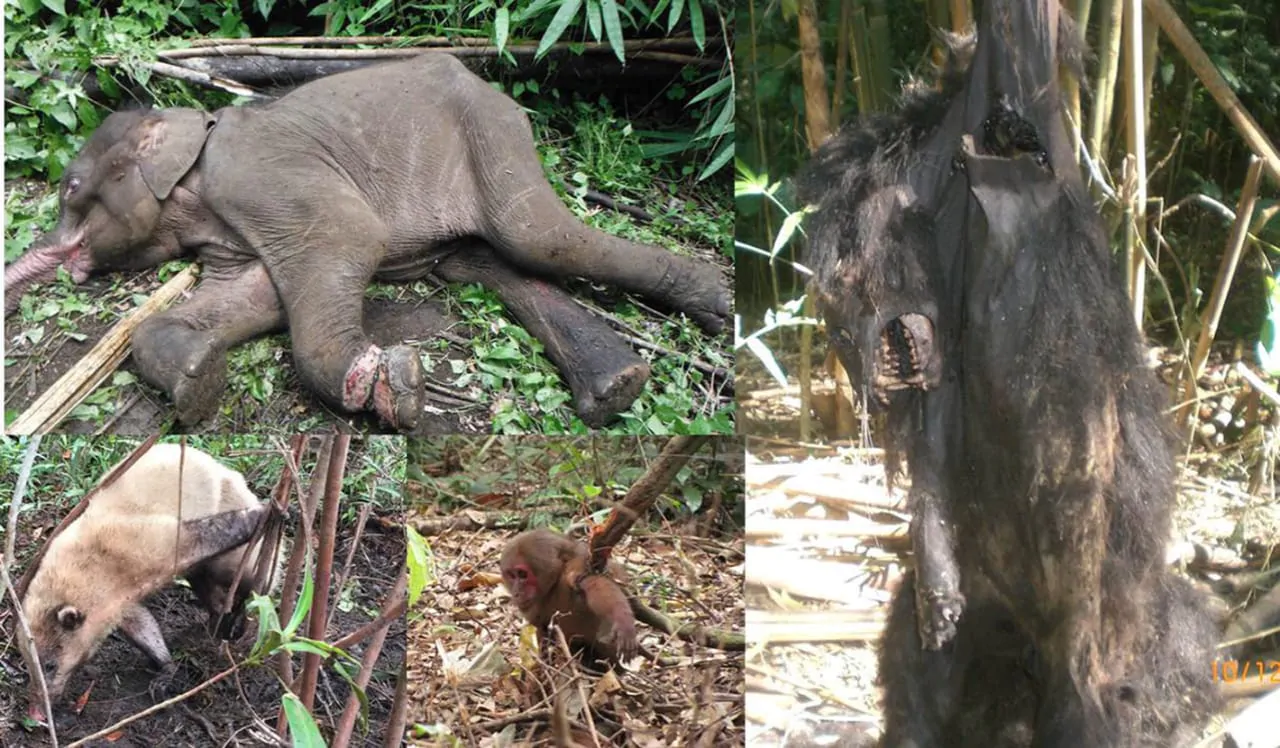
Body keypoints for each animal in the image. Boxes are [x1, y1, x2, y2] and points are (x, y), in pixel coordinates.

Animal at [5, 55, 732, 430]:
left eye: (71, 189)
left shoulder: (257, 170)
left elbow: (350, 237)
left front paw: (395, 386)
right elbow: (257, 297)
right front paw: (198, 379)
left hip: (491, 133)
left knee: (538, 238)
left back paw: (717, 303)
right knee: (489, 263)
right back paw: (619, 386)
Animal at [499, 525, 640, 666]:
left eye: (522, 574)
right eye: (512, 575)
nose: (516, 593)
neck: (552, 587)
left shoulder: (574, 570)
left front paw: (622, 618)